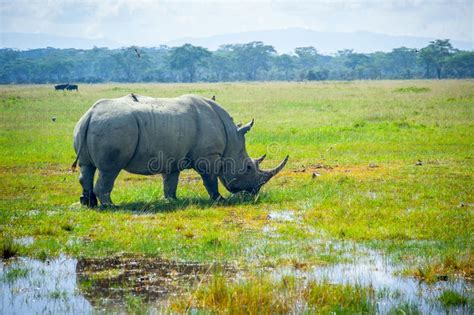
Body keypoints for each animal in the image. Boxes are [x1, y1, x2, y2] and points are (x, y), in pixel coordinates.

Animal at [73, 93, 288, 207]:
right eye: (248, 168)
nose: (255, 191)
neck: (231, 140)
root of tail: (90, 114)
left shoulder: (172, 157)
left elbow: (170, 181)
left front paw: (172, 201)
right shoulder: (209, 156)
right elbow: (210, 179)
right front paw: (220, 200)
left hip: (90, 124)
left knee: (87, 167)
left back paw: (88, 204)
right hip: (113, 126)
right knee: (110, 170)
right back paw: (110, 206)